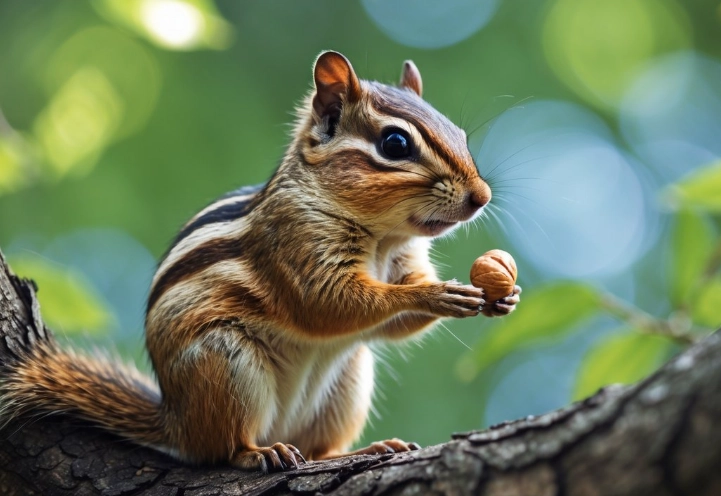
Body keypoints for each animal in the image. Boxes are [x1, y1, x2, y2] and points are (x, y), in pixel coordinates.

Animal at [0, 51, 520, 472]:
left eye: (459, 133)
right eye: (395, 144)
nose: (481, 196)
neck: (383, 238)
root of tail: (174, 420)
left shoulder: (403, 259)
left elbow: (390, 323)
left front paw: (502, 295)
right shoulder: (295, 248)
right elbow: (328, 305)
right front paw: (437, 293)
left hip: (349, 380)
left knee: (316, 450)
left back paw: (363, 450)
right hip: (226, 365)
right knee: (223, 449)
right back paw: (257, 452)